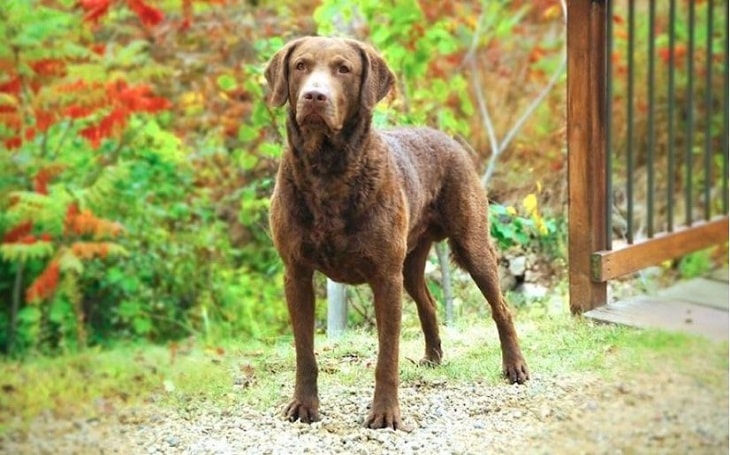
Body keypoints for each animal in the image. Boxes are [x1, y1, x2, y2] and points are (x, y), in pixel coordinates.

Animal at [264, 36, 528, 432]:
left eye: (343, 68)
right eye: (300, 66)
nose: (314, 96)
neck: (328, 173)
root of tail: (447, 139)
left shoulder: (384, 277)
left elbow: (387, 356)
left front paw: (385, 414)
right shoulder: (296, 273)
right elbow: (304, 351)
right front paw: (304, 406)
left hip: (471, 244)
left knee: (502, 308)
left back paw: (514, 367)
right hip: (410, 262)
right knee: (428, 303)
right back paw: (433, 358)